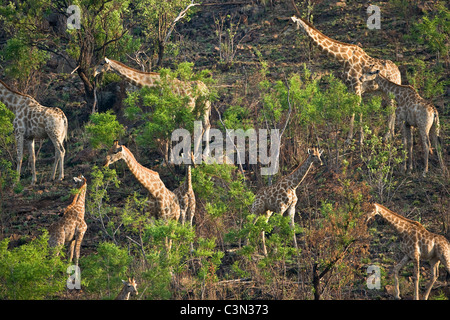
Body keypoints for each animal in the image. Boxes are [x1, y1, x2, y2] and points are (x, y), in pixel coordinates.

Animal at [292, 15, 400, 143]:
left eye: (292, 23)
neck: (343, 58)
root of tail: (398, 72)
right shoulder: (350, 87)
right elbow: (351, 108)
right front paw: (351, 137)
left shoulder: (357, 86)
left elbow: (357, 108)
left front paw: (358, 139)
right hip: (383, 91)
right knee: (391, 107)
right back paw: (390, 134)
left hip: (390, 90)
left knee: (392, 107)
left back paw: (387, 135)